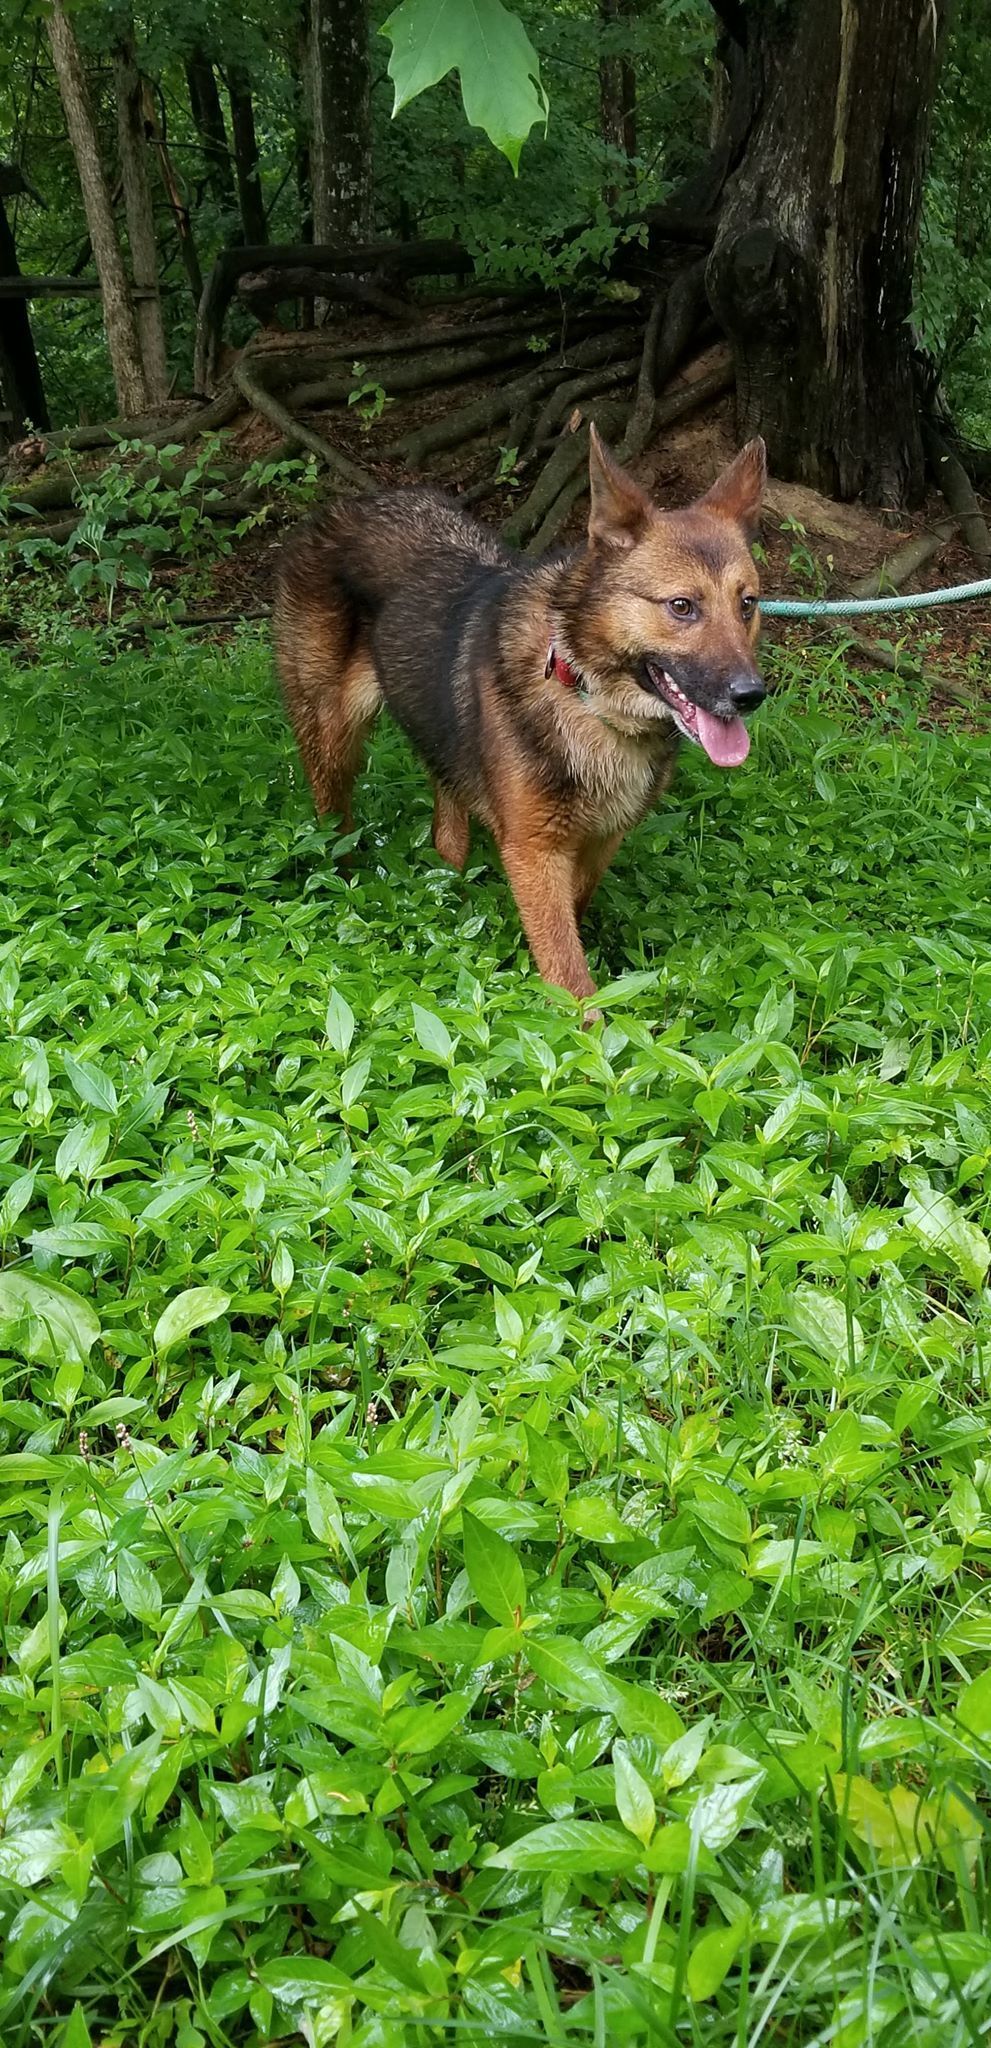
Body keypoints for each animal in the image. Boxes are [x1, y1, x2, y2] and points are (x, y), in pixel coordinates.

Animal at [274, 434, 769, 1007]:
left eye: (748, 605)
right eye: (683, 606)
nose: (751, 695)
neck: (590, 700)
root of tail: (347, 506)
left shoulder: (599, 842)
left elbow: (570, 923)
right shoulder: (535, 853)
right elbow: (571, 977)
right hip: (334, 738)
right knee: (334, 819)